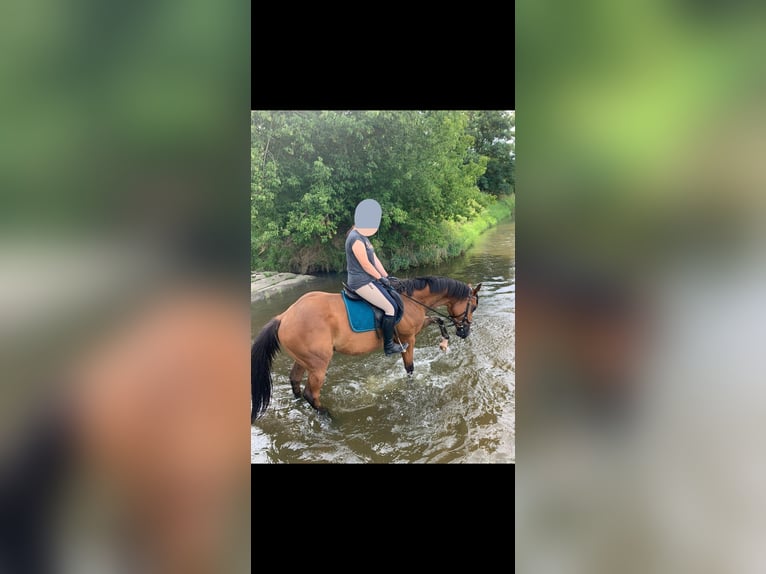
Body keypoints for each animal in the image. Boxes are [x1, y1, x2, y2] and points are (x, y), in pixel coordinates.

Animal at [252, 276, 484, 420]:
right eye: (472, 306)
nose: (465, 332)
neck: (412, 300)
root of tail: (284, 317)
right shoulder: (408, 338)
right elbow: (409, 367)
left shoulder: (418, 326)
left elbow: (438, 320)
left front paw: (444, 341)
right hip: (318, 364)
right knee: (311, 393)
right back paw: (329, 417)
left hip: (303, 360)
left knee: (295, 380)